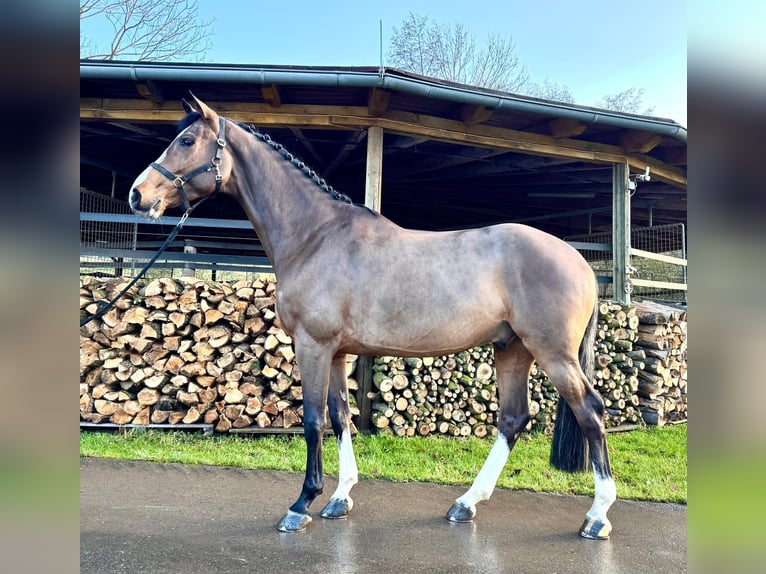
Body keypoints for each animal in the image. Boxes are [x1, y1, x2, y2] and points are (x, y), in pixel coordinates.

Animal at [130, 94, 616, 540]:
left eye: (186, 140)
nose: (138, 194)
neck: (316, 236)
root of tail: (578, 259)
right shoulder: (337, 351)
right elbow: (340, 416)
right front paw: (339, 498)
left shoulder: (312, 345)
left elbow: (313, 421)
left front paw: (301, 504)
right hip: (512, 349)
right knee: (513, 419)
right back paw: (465, 504)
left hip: (552, 353)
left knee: (590, 412)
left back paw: (596, 517)